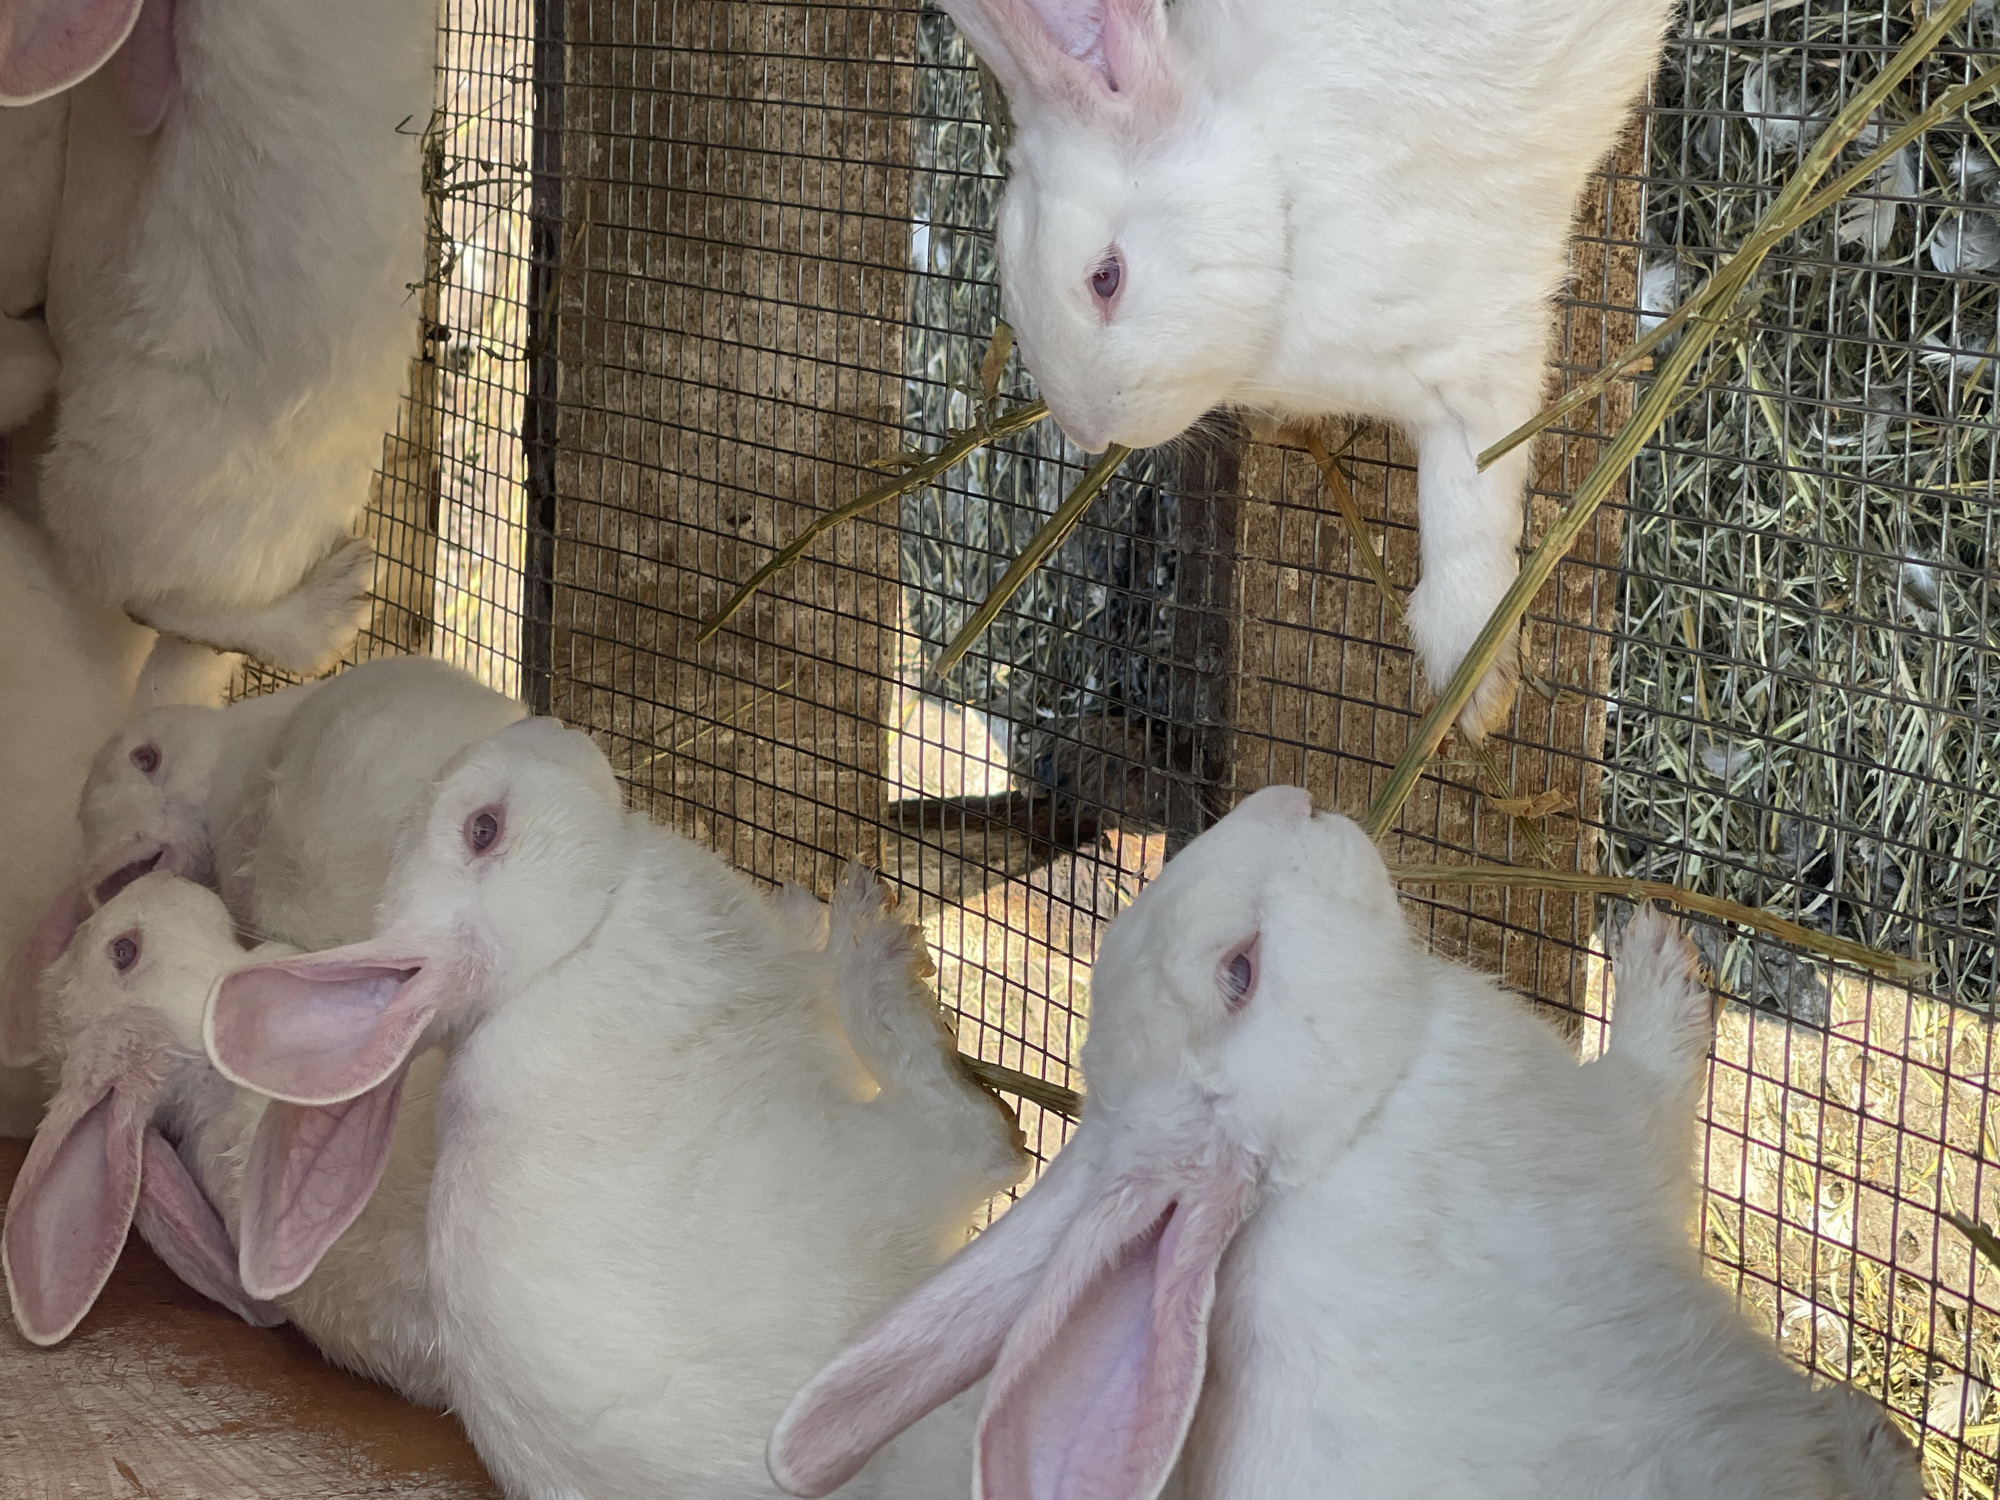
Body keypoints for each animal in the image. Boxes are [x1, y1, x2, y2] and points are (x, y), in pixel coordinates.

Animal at [206, 716, 1031, 1499]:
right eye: (484, 829)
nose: (548, 726)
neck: (561, 955)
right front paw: (852, 923)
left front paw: (802, 907)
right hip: (887, 1183)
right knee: (973, 1133)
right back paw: (871, 946)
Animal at [766, 785, 1922, 1500]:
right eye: (1239, 971)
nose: (1289, 801)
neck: (1342, 1132)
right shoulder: (1601, 1139)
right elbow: (1652, 1086)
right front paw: (1652, 955)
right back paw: (1873, 1442)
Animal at [940, 0, 1672, 738]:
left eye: (1105, 278)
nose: (1089, 434)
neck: (1279, 190)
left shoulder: (1478, 357)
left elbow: (1467, 510)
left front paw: (1474, 692)